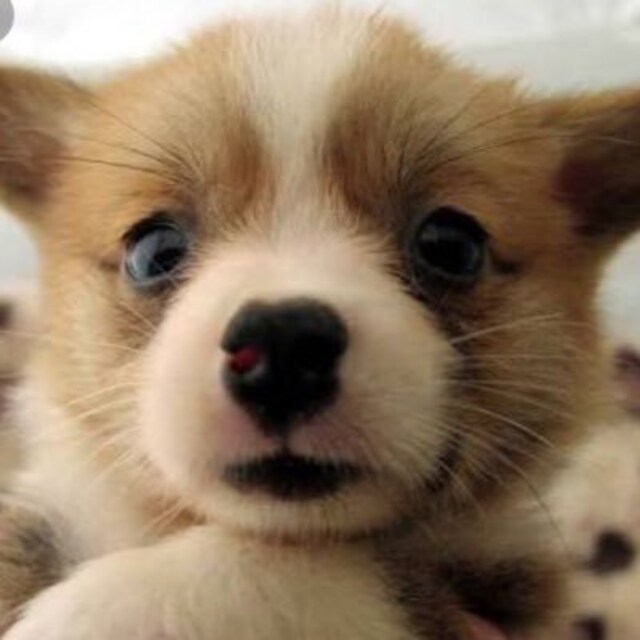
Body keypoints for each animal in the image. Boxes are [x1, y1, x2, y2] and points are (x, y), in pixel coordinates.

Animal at [0, 7, 638, 639]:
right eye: (152, 250)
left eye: (452, 245)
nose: (281, 347)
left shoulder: (496, 583)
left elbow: (310, 566)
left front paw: (103, 606)